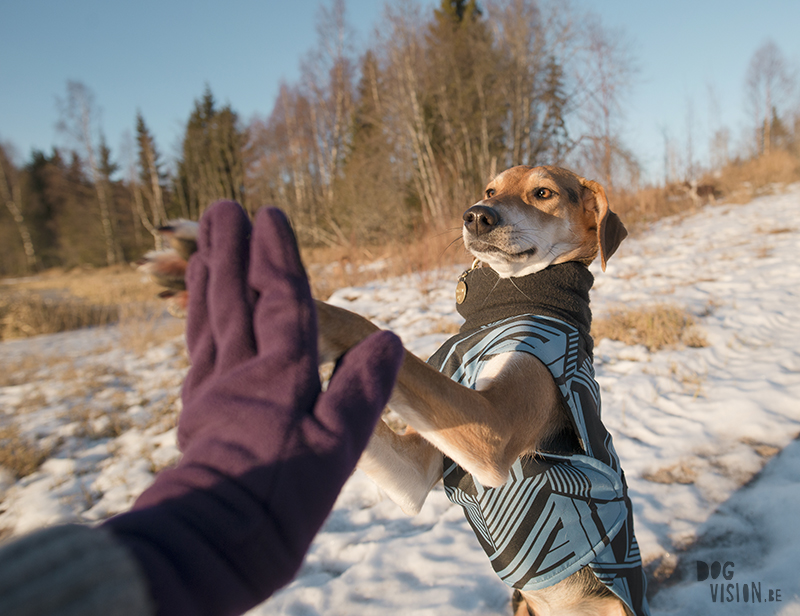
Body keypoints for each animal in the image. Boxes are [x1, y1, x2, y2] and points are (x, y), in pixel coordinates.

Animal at [141, 165, 648, 616]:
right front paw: (191, 265)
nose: (476, 215)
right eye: (491, 188)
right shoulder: (420, 467)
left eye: (543, 193)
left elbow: (357, 321)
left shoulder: (491, 433)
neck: (503, 305)